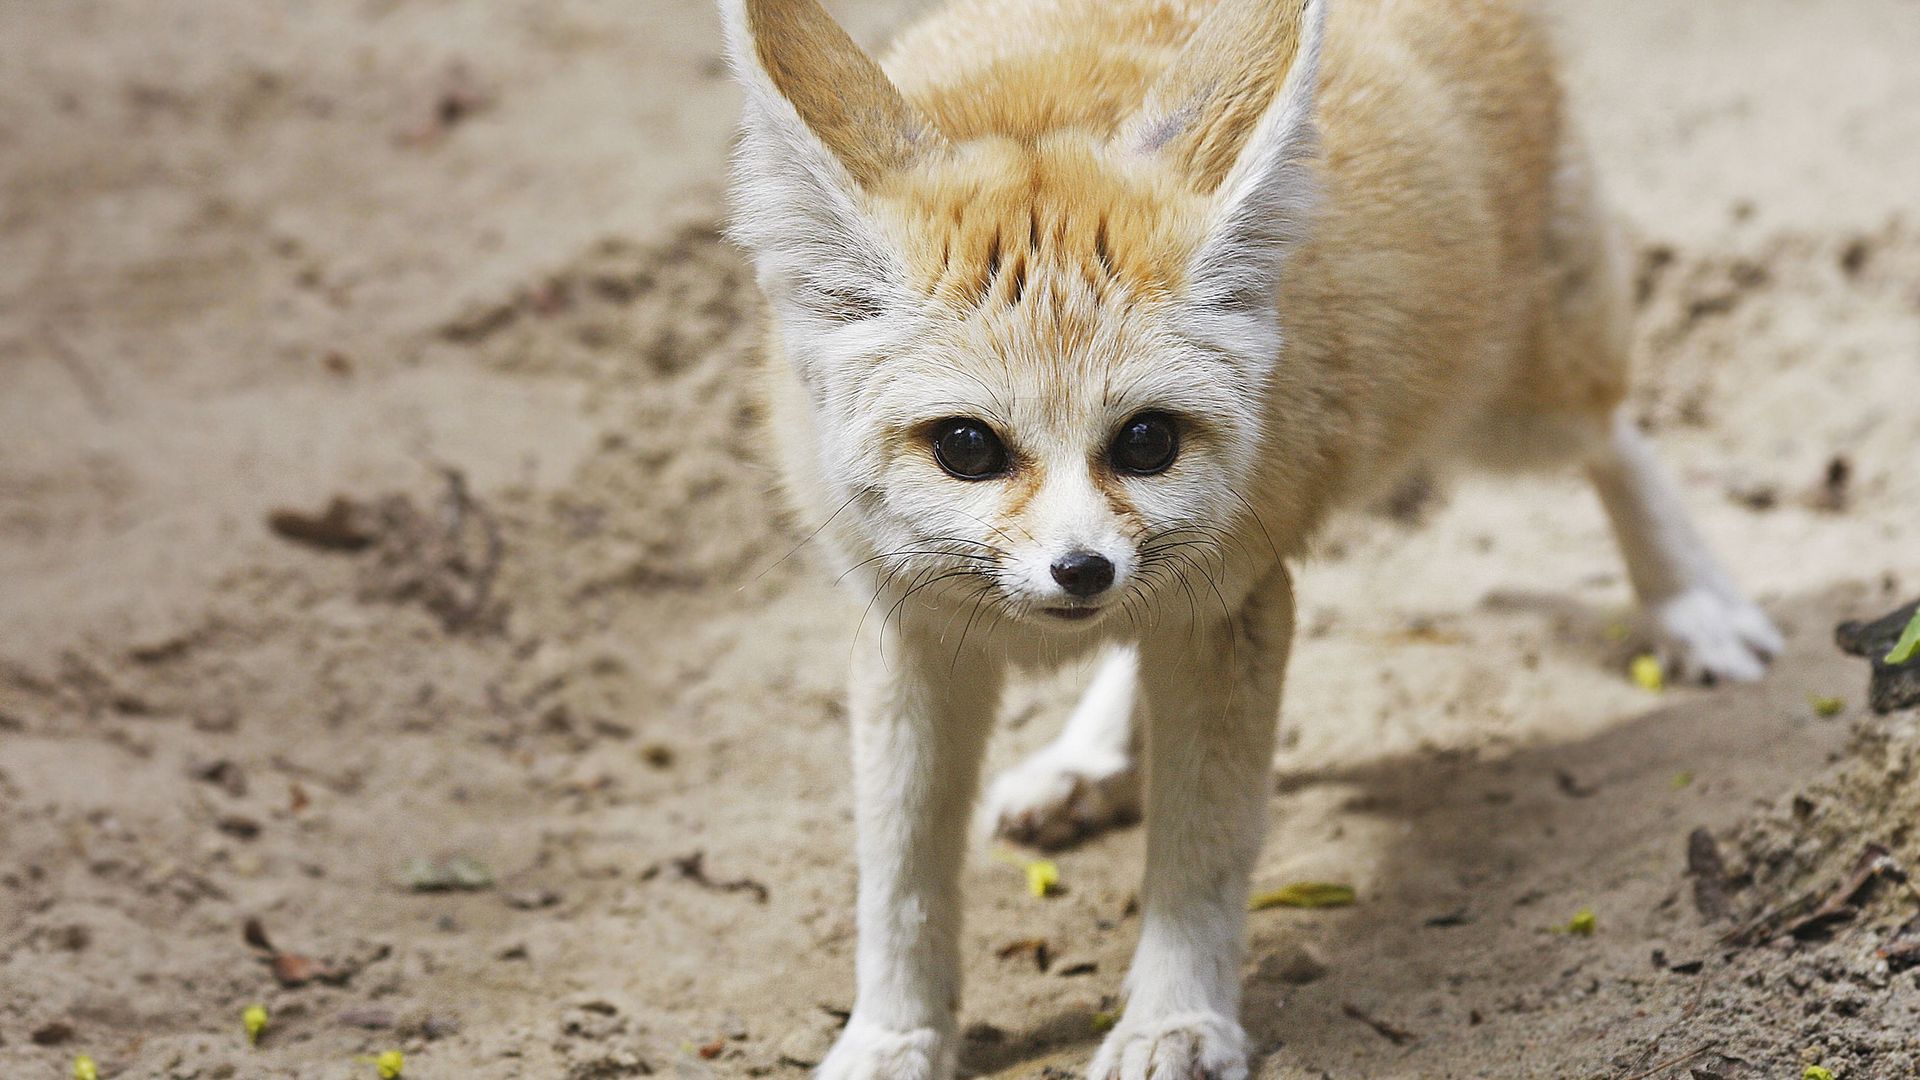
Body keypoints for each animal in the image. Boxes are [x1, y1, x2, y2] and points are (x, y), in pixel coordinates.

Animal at [718, 0, 1782, 1076]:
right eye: (968, 448)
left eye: (1146, 440)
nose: (1080, 570)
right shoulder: (914, 632)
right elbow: (899, 876)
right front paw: (894, 1036)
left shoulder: (1230, 605)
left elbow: (1200, 852)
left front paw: (1174, 1020)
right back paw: (1088, 759)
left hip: (1515, 410)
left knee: (1619, 432)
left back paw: (1691, 605)